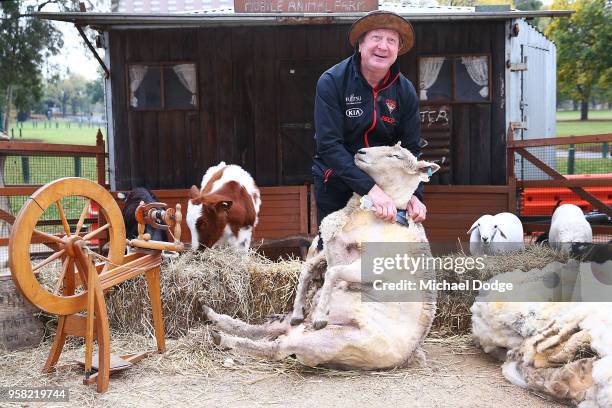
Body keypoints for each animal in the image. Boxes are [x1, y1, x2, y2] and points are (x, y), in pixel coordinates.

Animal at [204, 143, 440, 370]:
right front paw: (299, 308)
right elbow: (308, 269)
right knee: (263, 330)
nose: (360, 151)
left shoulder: (368, 264)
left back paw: (224, 337)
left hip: (330, 341)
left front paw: (321, 314)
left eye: (396, 156)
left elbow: (333, 273)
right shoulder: (331, 247)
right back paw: (216, 318)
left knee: (277, 347)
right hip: (300, 330)